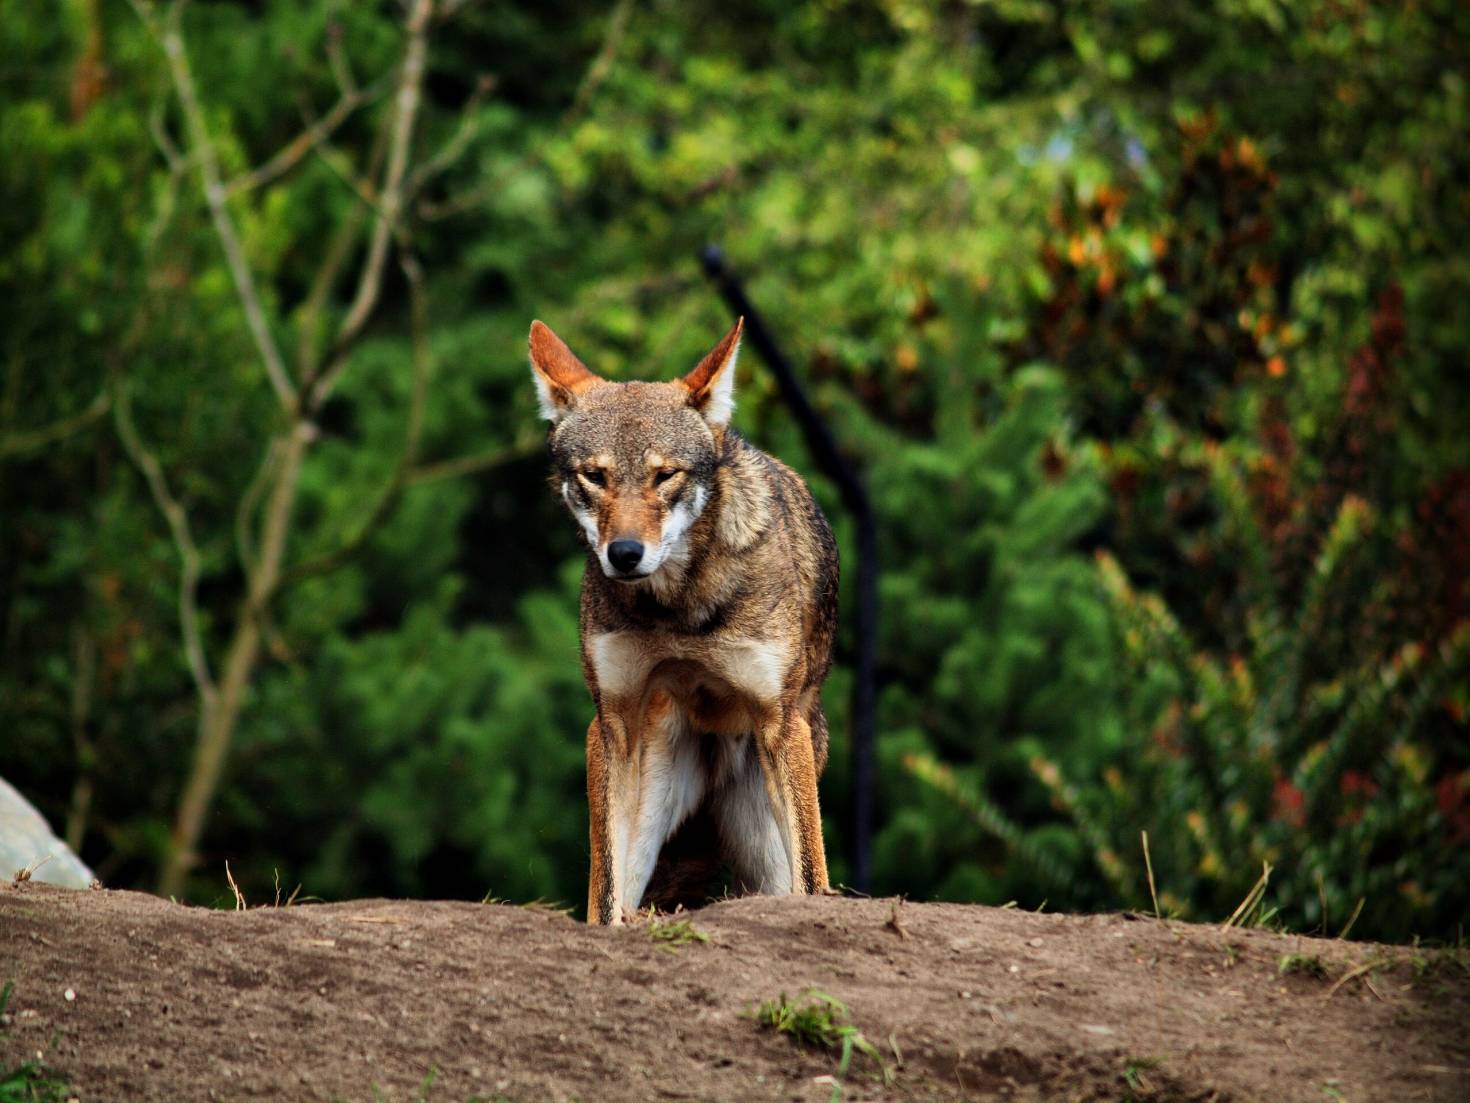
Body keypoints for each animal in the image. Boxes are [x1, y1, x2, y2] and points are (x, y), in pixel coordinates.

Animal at [528, 317, 838, 925]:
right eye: (594, 476)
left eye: (664, 475)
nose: (624, 554)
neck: (678, 608)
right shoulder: (611, 722)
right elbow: (604, 898)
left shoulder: (779, 719)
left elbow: (815, 883)